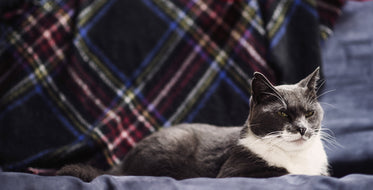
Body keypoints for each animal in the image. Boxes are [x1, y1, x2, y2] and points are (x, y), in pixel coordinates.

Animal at [56, 67, 326, 181]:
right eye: (282, 114)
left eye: (310, 112)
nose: (302, 128)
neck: (296, 157)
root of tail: (121, 165)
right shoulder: (233, 171)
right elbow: (285, 173)